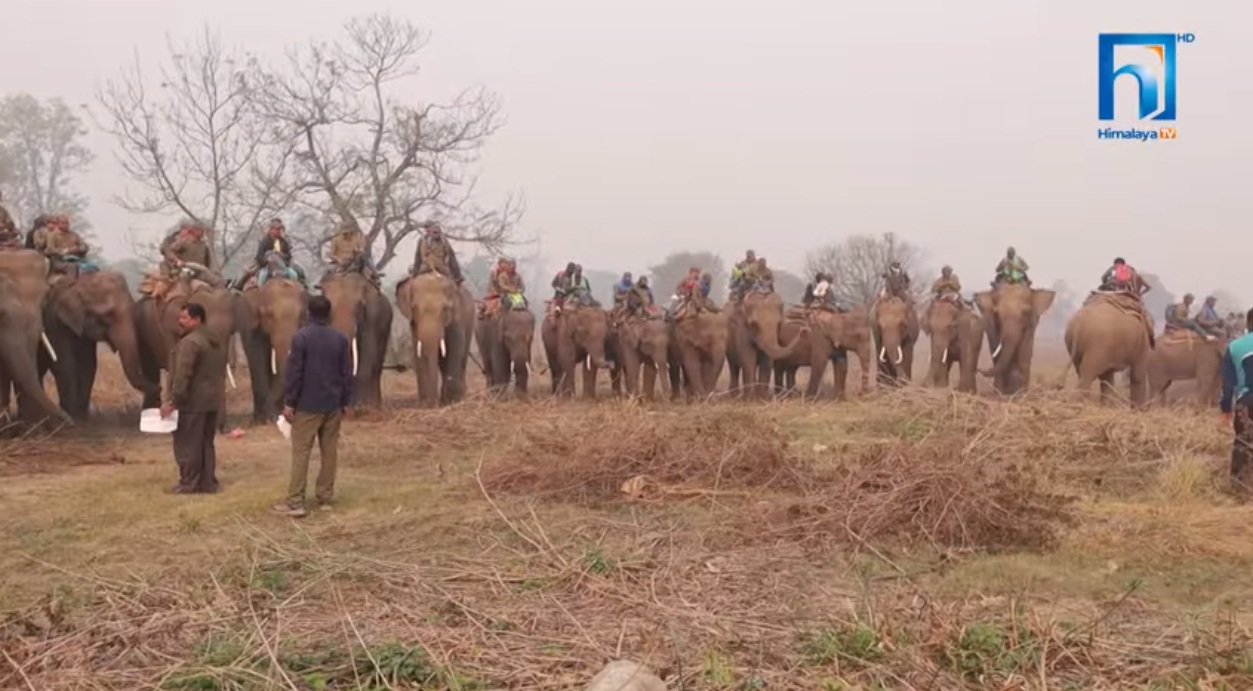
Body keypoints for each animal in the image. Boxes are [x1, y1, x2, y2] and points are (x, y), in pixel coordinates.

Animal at [40, 270, 149, 421]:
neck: (82, 281)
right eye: (108, 315)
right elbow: (65, 364)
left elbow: (88, 365)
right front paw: (73, 419)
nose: (159, 387)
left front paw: (82, 418)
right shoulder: (54, 323)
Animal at [238, 275, 309, 421]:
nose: (273, 414)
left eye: (302, 315)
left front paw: (275, 414)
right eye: (268, 314)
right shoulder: (251, 324)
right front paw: (266, 418)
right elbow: (258, 356)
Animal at [318, 273, 390, 408]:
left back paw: (375, 405)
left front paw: (362, 406)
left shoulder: (371, 318)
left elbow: (367, 349)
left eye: (360, 307)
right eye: (328, 308)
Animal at [395, 274, 473, 408]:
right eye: (414, 308)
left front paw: (452, 401)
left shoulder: (456, 318)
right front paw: (425, 404)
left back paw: (459, 395)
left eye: (445, 309)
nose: (433, 403)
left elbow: (455, 347)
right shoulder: (414, 325)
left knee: (463, 357)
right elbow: (418, 351)